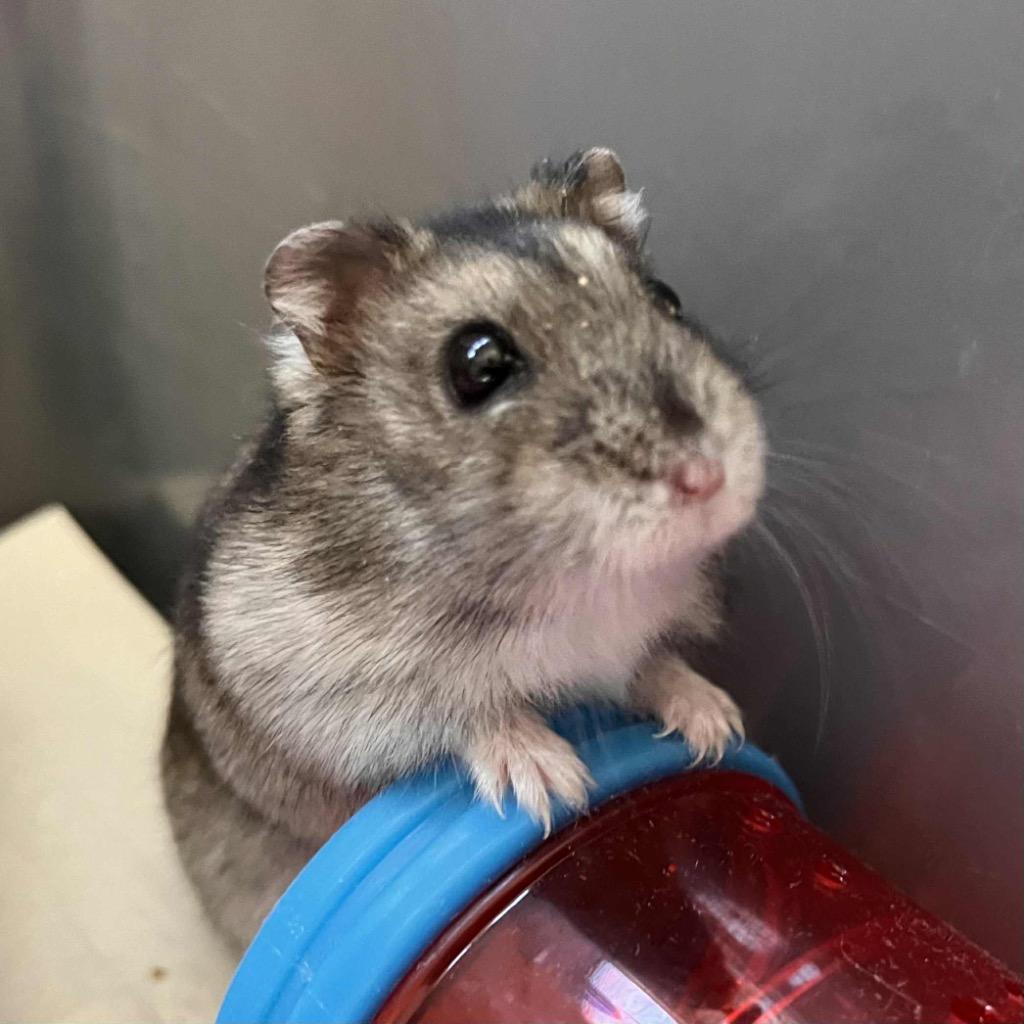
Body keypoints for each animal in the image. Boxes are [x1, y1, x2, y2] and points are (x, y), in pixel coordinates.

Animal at [161, 148, 765, 951]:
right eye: (478, 363)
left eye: (666, 300)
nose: (708, 478)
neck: (578, 580)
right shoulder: (329, 694)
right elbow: (466, 711)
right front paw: (555, 783)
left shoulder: (639, 640)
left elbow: (653, 665)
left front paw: (717, 725)